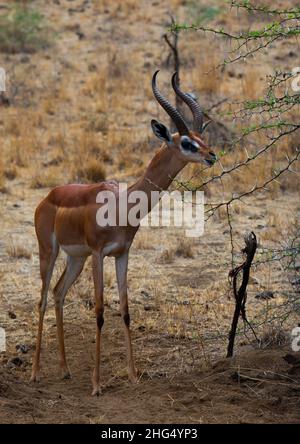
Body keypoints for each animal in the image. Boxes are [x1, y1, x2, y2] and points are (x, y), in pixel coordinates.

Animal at [30, 70, 217, 396]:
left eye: (200, 138)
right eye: (186, 142)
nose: (211, 156)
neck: (121, 205)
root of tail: (48, 198)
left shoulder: (122, 255)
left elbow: (127, 311)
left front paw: (132, 376)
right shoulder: (98, 255)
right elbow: (100, 312)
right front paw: (96, 385)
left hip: (76, 259)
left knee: (58, 293)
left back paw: (65, 370)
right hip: (50, 253)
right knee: (42, 299)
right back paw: (35, 373)